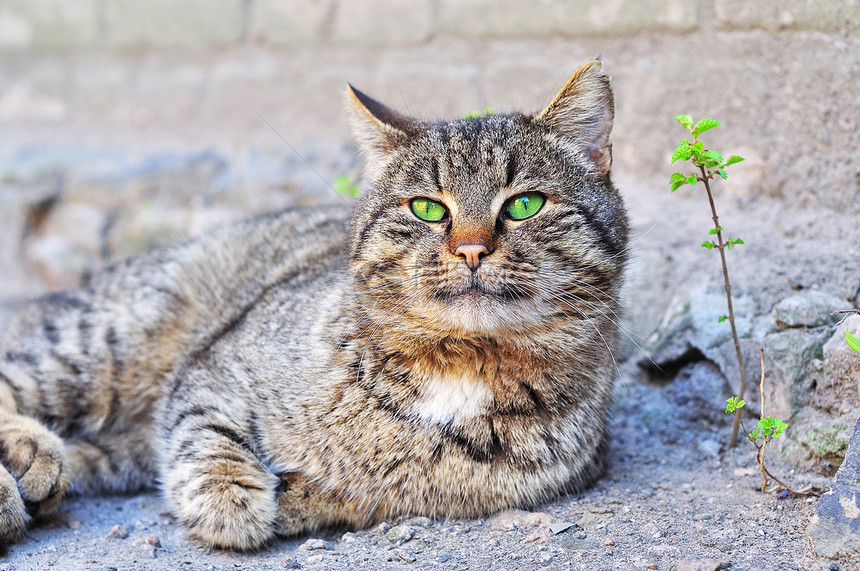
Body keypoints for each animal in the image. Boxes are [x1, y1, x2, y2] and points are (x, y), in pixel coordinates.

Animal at [1, 61, 632, 548]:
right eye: (428, 209)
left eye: (524, 204)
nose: (472, 248)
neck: (460, 366)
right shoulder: (214, 367)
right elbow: (206, 436)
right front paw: (233, 499)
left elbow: (355, 493)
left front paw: (294, 495)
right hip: (110, 346)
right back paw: (27, 458)